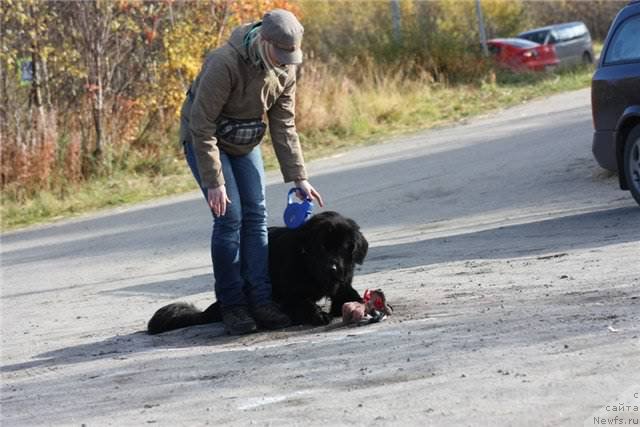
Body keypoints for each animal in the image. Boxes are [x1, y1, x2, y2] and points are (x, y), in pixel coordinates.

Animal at [148, 211, 368, 334]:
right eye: (322, 247)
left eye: (344, 247)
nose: (333, 268)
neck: (310, 266)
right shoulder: (291, 295)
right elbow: (303, 302)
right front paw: (318, 314)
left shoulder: (342, 283)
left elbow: (349, 294)